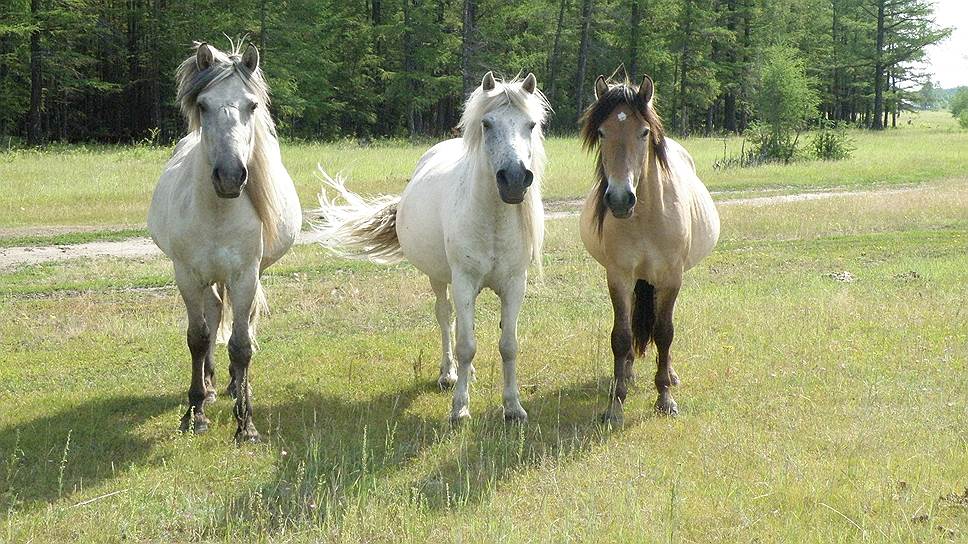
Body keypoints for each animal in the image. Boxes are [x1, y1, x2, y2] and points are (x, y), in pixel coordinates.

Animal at [146, 42, 298, 442]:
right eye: (203, 105)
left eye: (253, 106)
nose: (230, 177)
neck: (217, 211)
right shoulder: (186, 275)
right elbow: (198, 338)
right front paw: (195, 411)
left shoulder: (245, 275)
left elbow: (242, 345)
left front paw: (246, 423)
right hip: (207, 278)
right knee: (214, 313)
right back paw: (212, 384)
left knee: (243, 322)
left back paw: (235, 385)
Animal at [314, 72, 548, 422]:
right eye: (487, 124)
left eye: (530, 124)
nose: (515, 179)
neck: (491, 219)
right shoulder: (463, 281)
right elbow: (465, 345)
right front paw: (460, 407)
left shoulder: (514, 284)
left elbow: (509, 345)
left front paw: (513, 407)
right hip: (440, 278)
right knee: (446, 317)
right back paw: (448, 374)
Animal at [576, 75, 720, 424]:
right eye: (602, 132)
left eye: (644, 132)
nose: (619, 199)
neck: (645, 215)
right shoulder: (619, 277)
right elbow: (621, 336)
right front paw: (615, 404)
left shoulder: (670, 278)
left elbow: (665, 332)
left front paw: (665, 398)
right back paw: (626, 373)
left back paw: (670, 375)